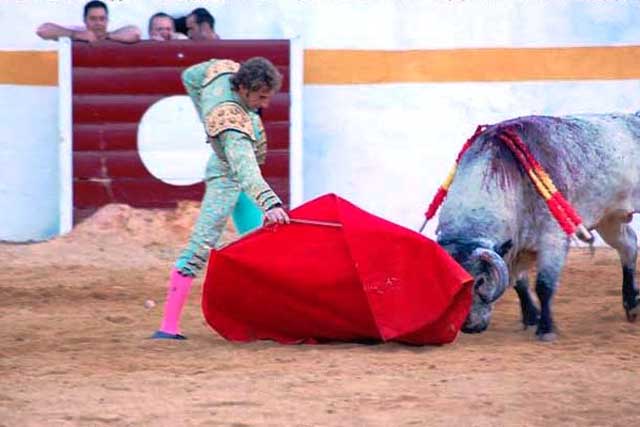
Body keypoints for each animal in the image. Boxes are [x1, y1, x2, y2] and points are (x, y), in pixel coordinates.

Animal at [438, 113, 640, 342]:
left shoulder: (553, 239)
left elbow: (544, 285)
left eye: (480, 281)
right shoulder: (515, 247)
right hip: (609, 219)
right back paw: (631, 304)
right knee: (628, 246)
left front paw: (546, 329)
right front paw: (530, 317)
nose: (468, 325)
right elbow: (520, 284)